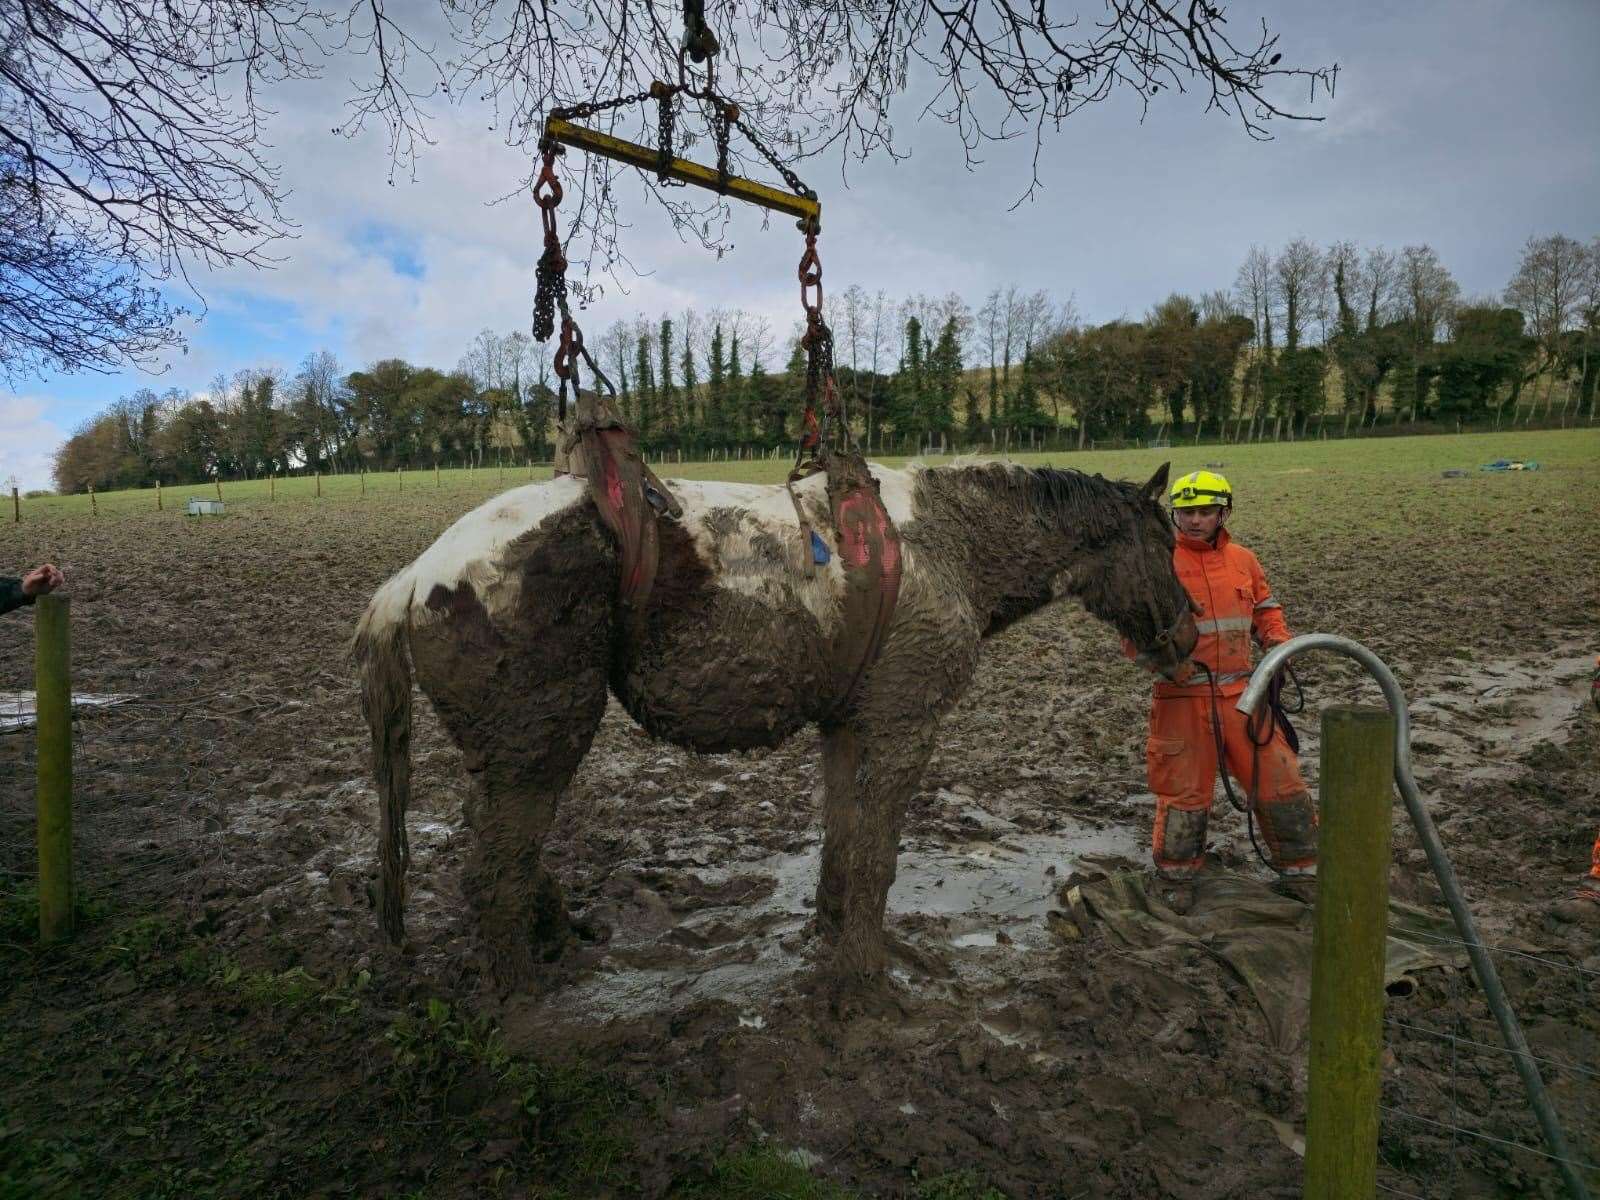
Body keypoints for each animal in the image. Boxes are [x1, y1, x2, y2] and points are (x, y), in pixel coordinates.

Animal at [353, 460, 1203, 998]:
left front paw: (827, 933)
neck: (943, 543)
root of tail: (416, 577)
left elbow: (843, 839)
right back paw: (529, 994)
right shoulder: (904, 726)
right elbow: (876, 858)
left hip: (505, 753)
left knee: (499, 843)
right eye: (1167, 544)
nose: (1191, 637)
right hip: (541, 745)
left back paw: (557, 930)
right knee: (493, 873)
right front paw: (862, 980)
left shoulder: (848, 726)